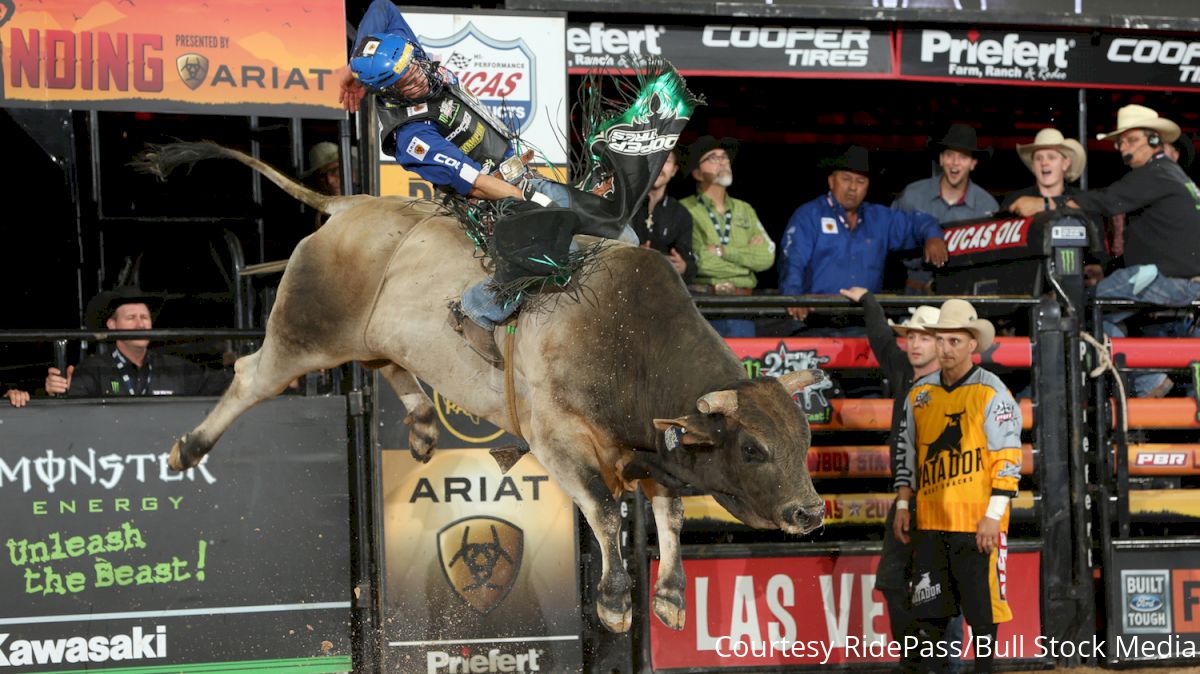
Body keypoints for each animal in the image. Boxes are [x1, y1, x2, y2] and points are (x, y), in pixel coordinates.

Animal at [136, 140, 820, 628]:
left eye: (805, 442)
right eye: (753, 448)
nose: (810, 512)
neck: (625, 338)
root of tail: (351, 207)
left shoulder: (646, 444)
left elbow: (670, 513)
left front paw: (672, 598)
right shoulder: (559, 442)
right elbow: (603, 509)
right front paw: (614, 601)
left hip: (372, 335)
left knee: (387, 364)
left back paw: (419, 427)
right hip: (307, 331)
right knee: (252, 375)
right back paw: (188, 449)